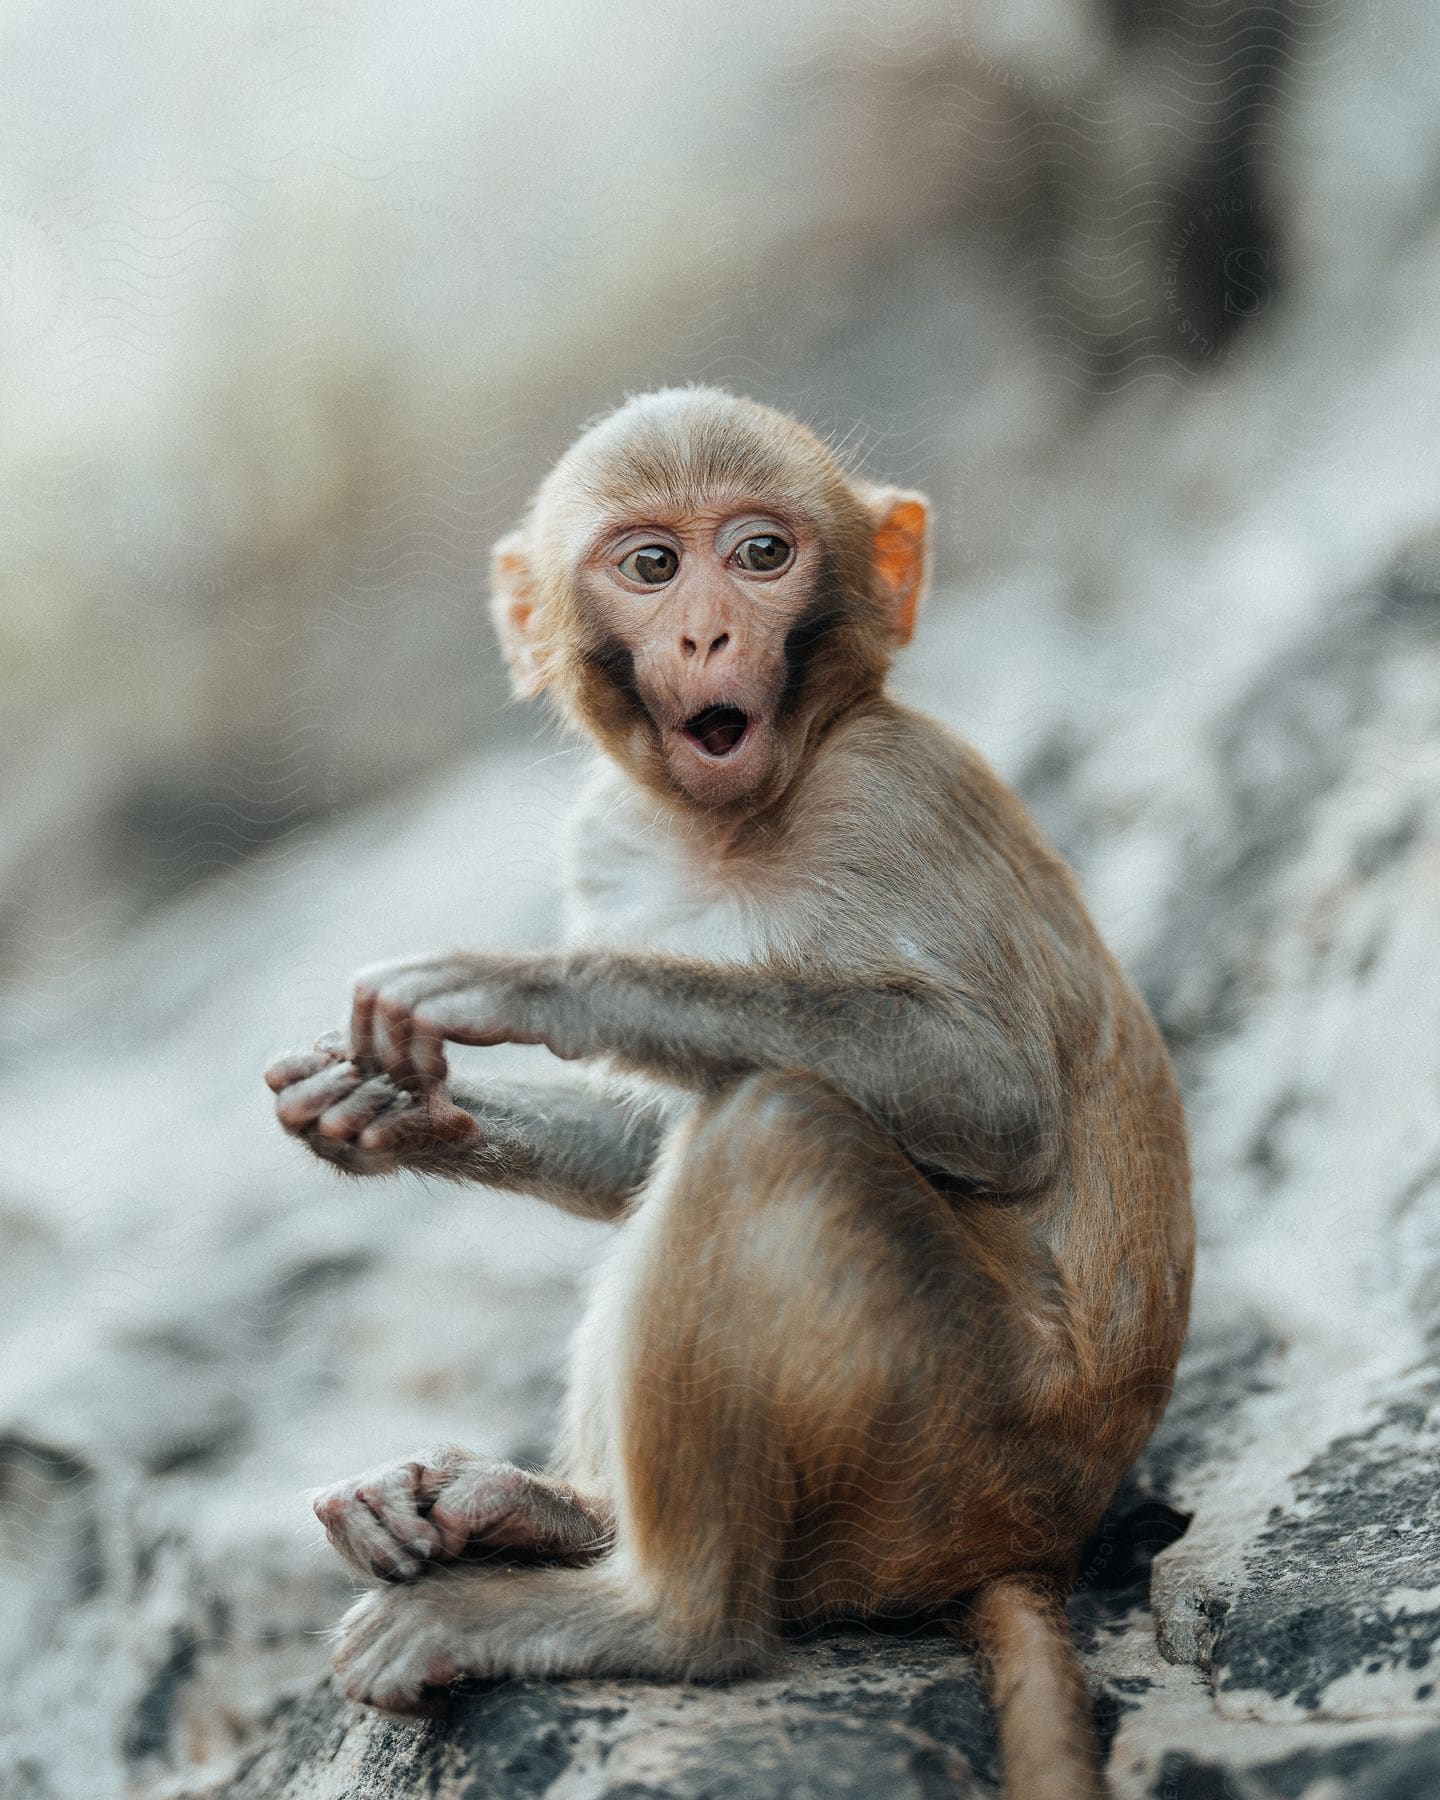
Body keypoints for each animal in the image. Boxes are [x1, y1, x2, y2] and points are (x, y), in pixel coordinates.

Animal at [264, 390, 1188, 1800]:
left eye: (760, 554)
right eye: (652, 566)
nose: (707, 632)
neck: (731, 831)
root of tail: (1036, 1542)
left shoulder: (891, 796)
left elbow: (992, 1096)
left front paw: (535, 987)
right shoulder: (608, 837)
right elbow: (641, 1140)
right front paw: (389, 1112)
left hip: (950, 1457)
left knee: (775, 1128)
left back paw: (661, 1616)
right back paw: (543, 1511)